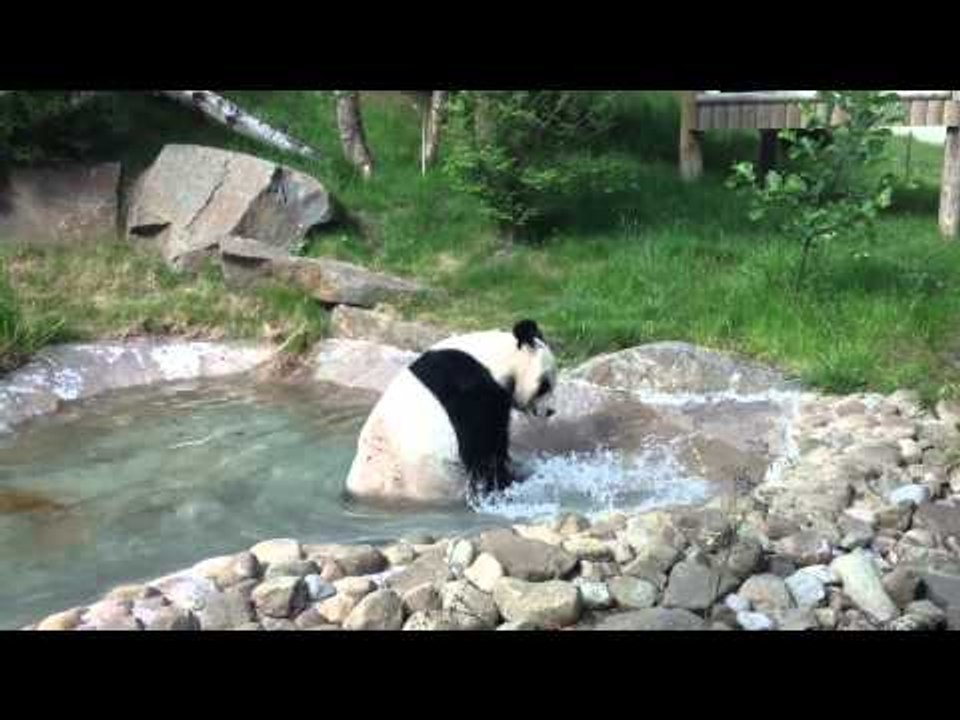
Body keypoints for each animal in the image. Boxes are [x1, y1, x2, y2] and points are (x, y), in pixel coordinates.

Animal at [345, 320, 558, 506]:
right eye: (545, 386)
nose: (550, 411)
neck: (494, 357)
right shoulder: (471, 389)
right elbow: (482, 445)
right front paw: (504, 482)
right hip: (429, 480)